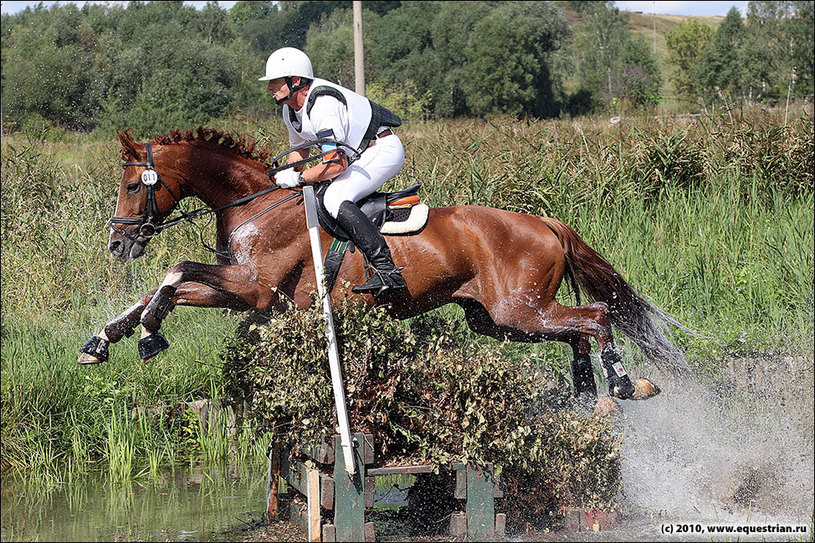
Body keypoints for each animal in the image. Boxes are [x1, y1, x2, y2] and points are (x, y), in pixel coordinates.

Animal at [76, 125, 692, 410]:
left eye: (133, 185)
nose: (117, 244)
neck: (254, 204)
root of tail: (544, 223)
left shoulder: (253, 289)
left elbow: (175, 272)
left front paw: (149, 333)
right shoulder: (252, 296)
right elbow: (162, 287)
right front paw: (103, 340)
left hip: (518, 310)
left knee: (596, 317)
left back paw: (624, 382)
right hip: (499, 319)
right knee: (579, 329)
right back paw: (588, 393)